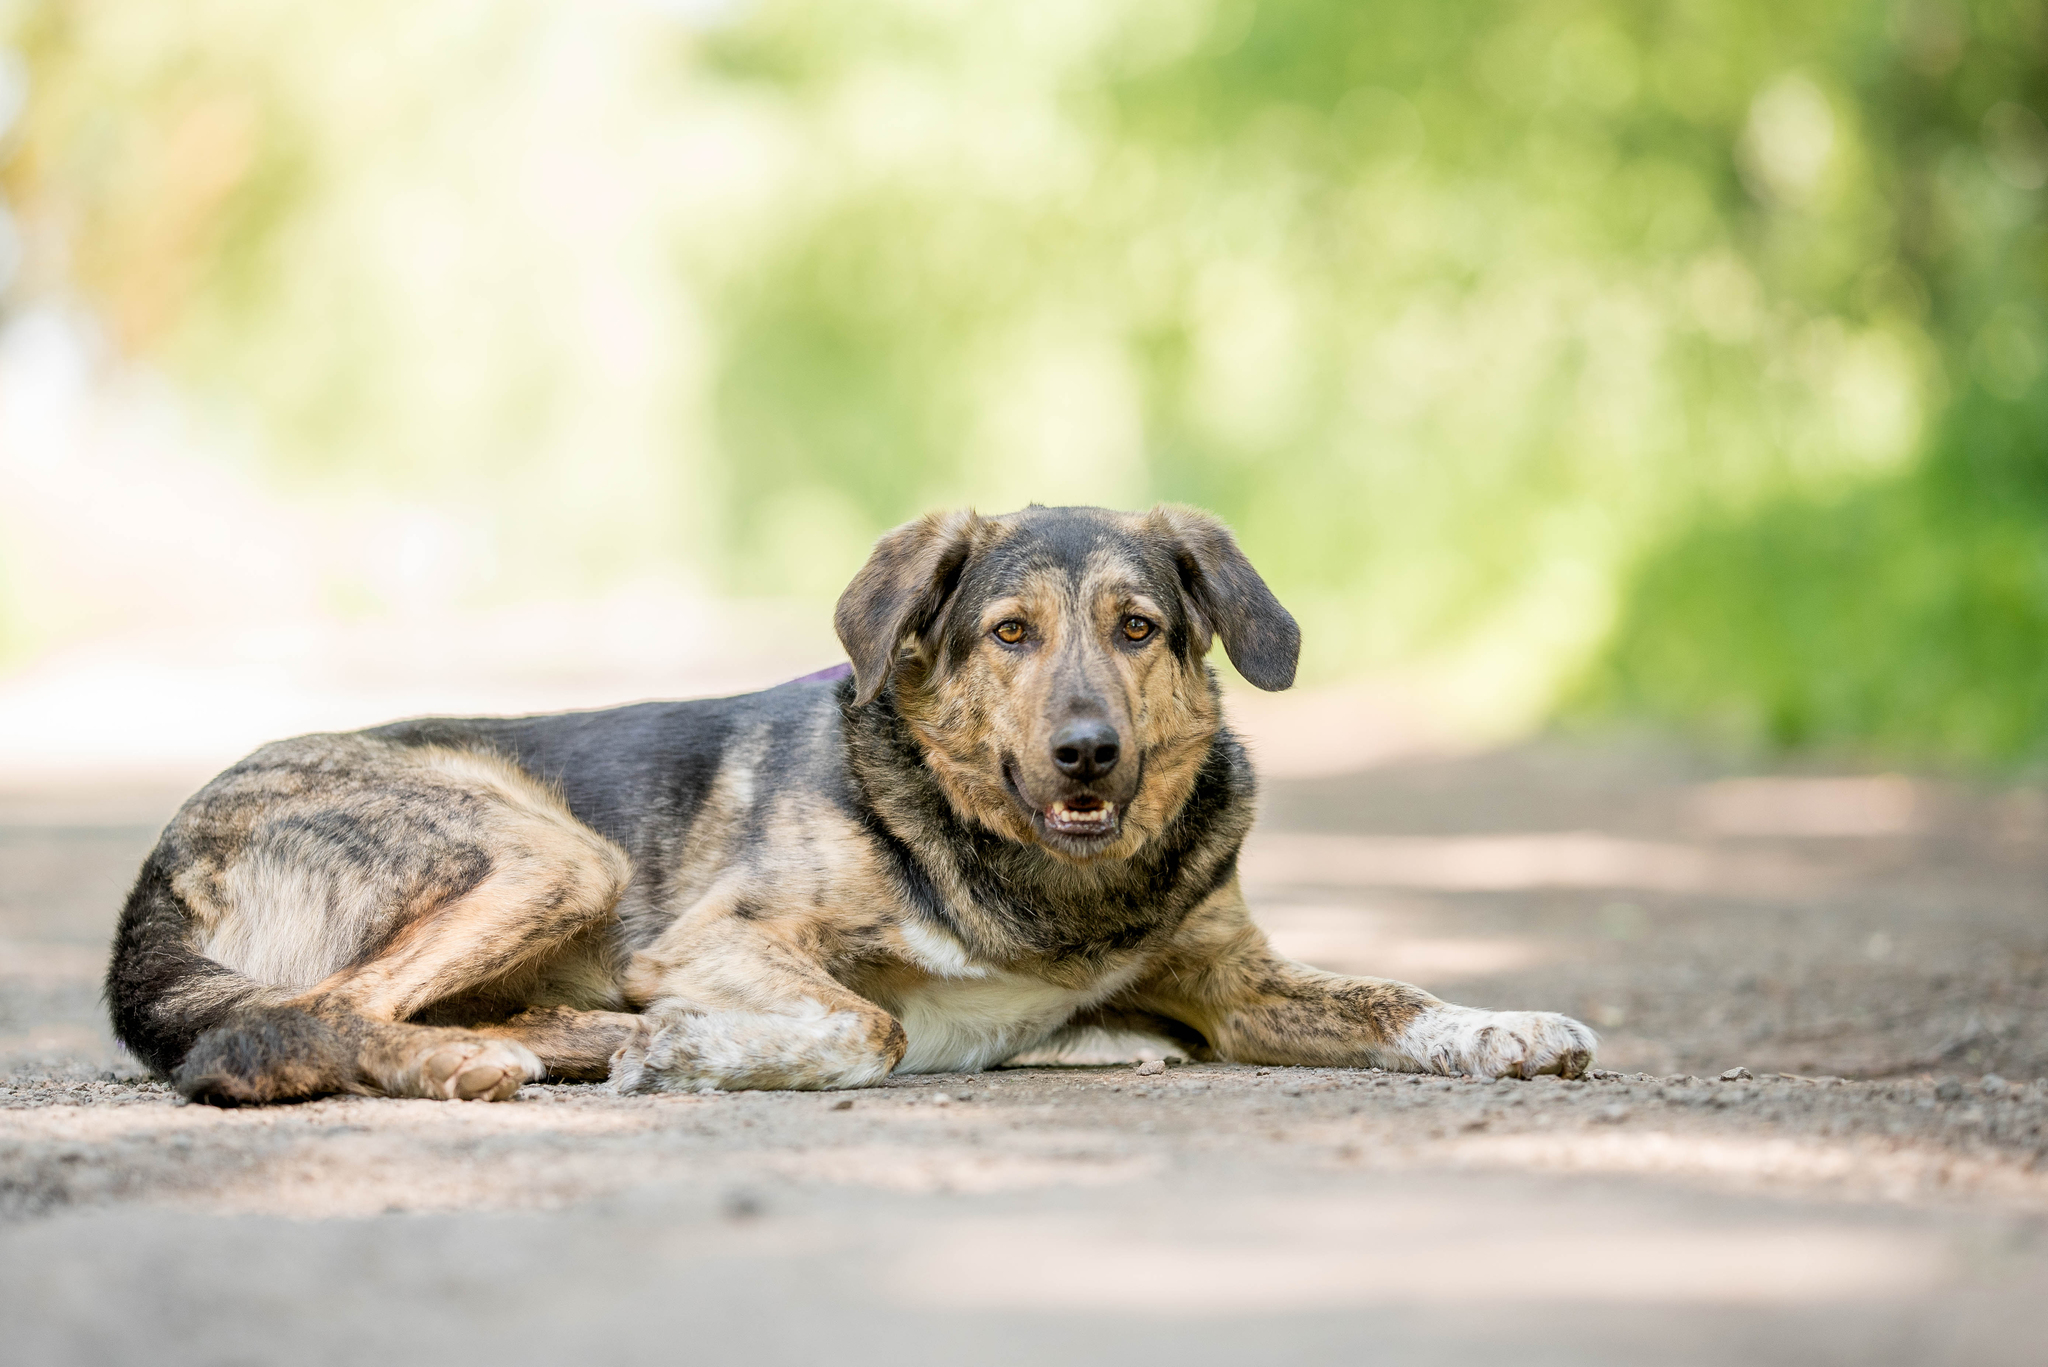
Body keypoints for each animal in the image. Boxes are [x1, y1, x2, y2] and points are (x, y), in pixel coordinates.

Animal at [103, 508, 1589, 1106]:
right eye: (1007, 632)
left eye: (1137, 626)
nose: (1088, 754)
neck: (1044, 885)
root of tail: (162, 858)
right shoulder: (717, 938)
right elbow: (865, 1022)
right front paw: (705, 1052)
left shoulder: (1234, 979)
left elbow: (1397, 994)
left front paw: (1509, 1023)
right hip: (549, 848)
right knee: (308, 1016)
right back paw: (480, 1064)